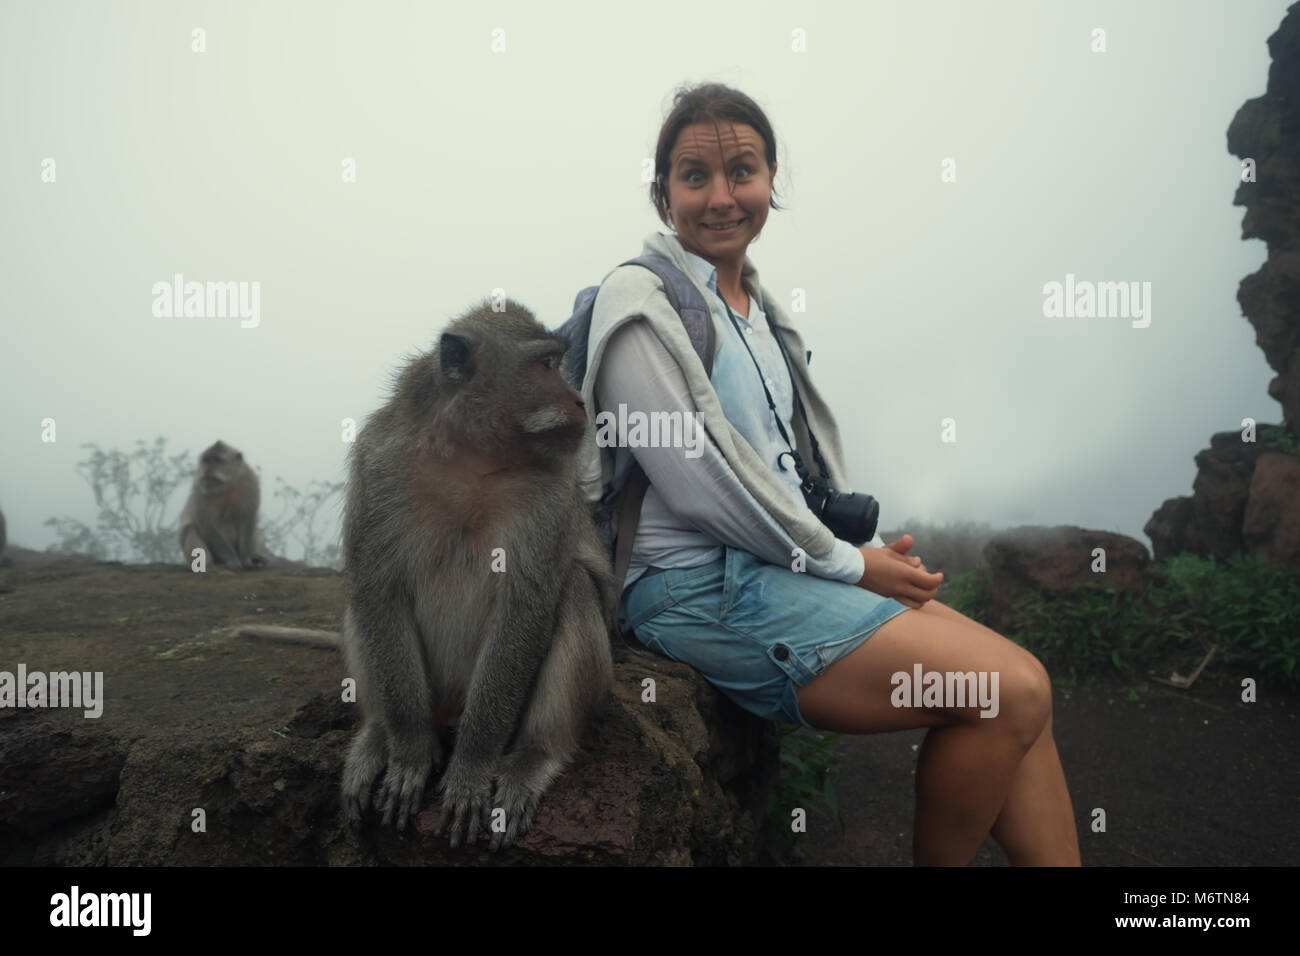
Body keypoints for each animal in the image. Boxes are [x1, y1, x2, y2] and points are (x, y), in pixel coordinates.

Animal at [178, 444, 269, 572]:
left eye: (217, 460)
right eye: (206, 460)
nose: (207, 469)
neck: (227, 487)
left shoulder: (250, 482)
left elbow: (247, 520)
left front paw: (246, 560)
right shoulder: (200, 487)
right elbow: (208, 526)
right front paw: (234, 561)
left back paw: (255, 557)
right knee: (189, 529)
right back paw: (209, 565)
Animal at [340, 300, 613, 853]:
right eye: (546, 365)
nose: (579, 400)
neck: (472, 458)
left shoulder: (548, 496)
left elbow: (525, 611)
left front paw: (471, 768)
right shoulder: (379, 465)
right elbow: (378, 589)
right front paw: (409, 752)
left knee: (574, 589)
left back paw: (537, 754)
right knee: (361, 600)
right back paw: (380, 732)